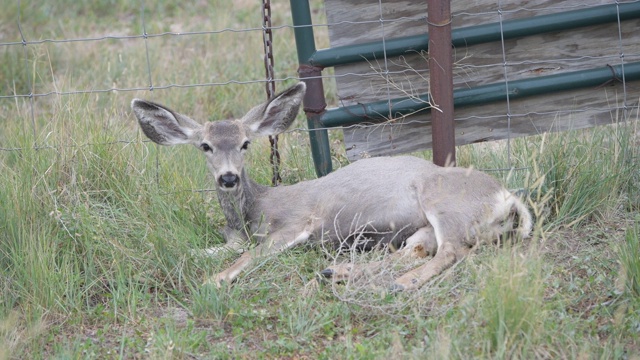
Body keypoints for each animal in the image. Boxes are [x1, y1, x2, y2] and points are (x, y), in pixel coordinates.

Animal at [130, 81, 528, 290]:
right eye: (205, 146)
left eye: (245, 143)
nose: (228, 177)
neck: (254, 210)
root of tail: (506, 197)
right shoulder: (234, 238)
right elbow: (198, 251)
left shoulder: (296, 222)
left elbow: (247, 258)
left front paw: (211, 280)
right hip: (431, 224)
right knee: (416, 249)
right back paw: (339, 271)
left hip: (445, 202)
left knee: (452, 250)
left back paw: (401, 282)